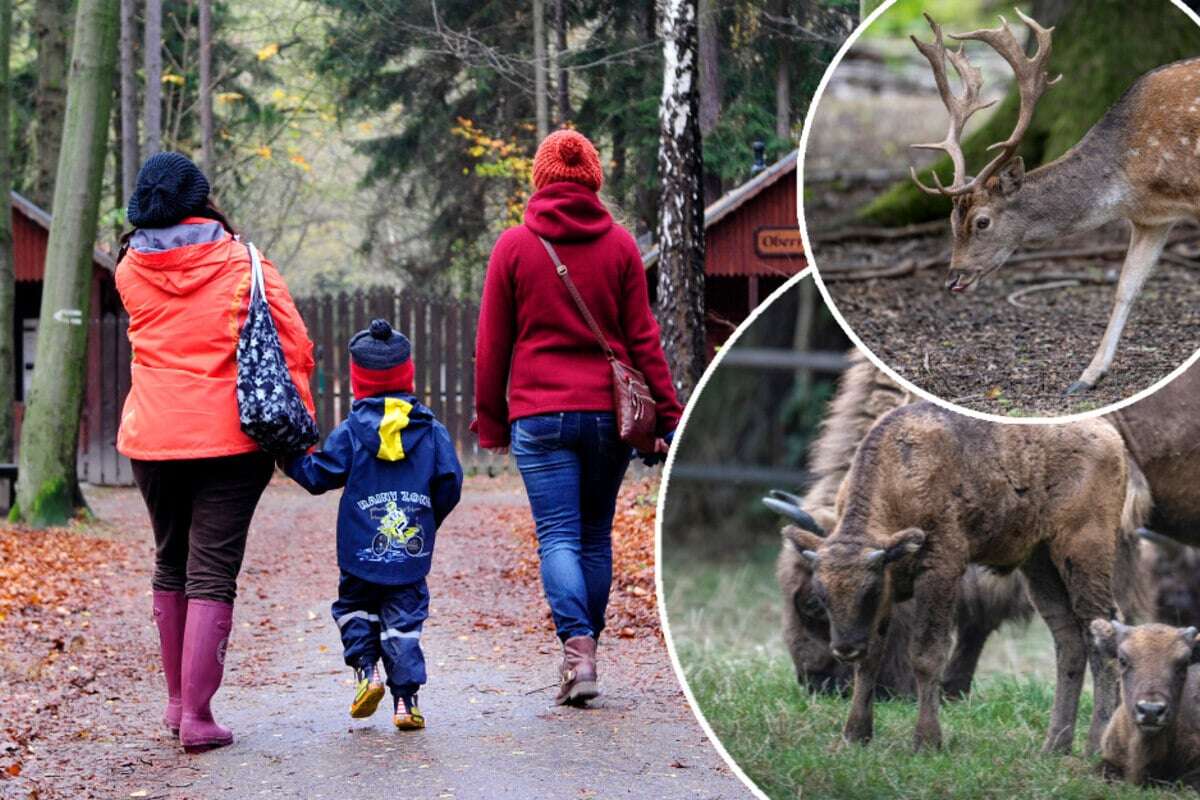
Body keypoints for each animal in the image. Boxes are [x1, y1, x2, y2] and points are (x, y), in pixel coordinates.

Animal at [907, 10, 1200, 398]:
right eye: (952, 221)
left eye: (982, 221)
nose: (954, 279)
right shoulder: (1151, 218)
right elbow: (1126, 287)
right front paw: (1087, 376)